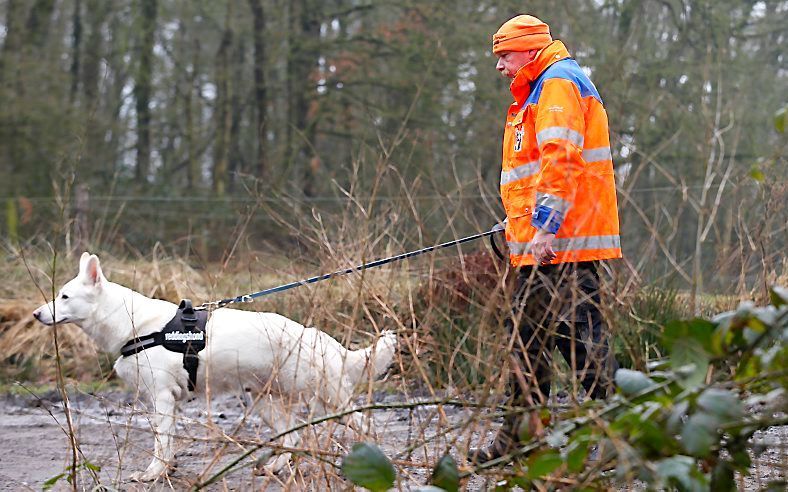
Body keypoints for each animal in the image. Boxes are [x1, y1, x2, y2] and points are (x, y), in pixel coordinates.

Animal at [33, 254, 398, 480]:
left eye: (64, 297)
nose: (36, 314)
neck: (132, 323)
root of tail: (321, 339)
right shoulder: (169, 402)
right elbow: (168, 444)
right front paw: (165, 472)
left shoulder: (162, 399)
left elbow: (160, 444)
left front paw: (152, 475)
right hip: (264, 403)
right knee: (292, 438)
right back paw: (274, 468)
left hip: (329, 400)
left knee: (363, 424)